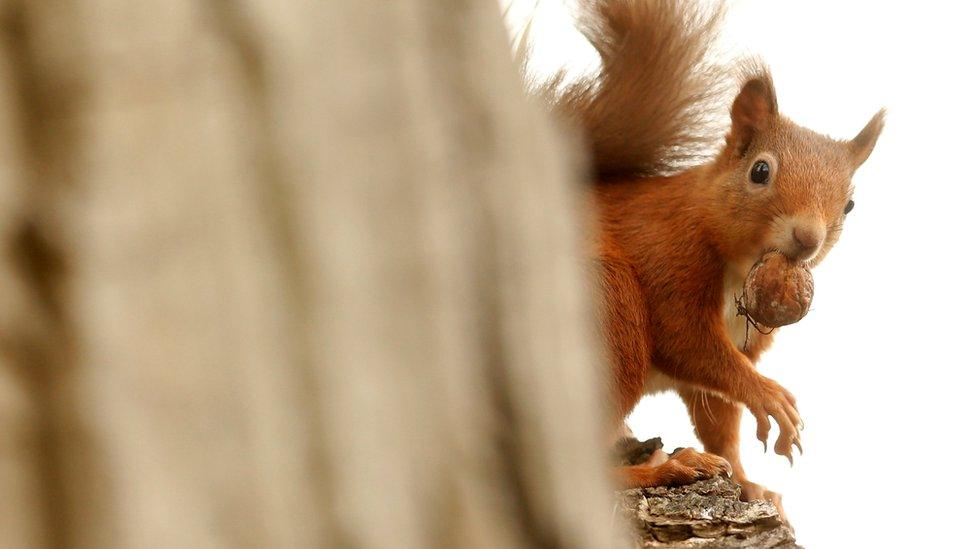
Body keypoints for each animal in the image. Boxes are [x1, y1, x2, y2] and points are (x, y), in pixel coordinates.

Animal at [536, 0, 880, 506]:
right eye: (760, 171)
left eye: (851, 205)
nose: (808, 238)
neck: (739, 265)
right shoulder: (668, 251)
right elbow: (688, 341)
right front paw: (769, 396)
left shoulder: (745, 341)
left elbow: (719, 415)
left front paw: (748, 482)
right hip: (605, 308)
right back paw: (660, 471)